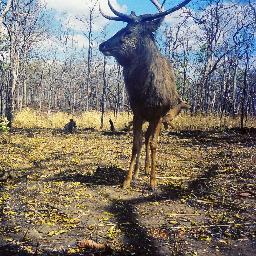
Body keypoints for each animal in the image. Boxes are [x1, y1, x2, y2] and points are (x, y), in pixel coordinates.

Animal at [99, 0, 191, 188]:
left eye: (128, 31)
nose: (102, 45)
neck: (145, 91)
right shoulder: (137, 112)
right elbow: (136, 144)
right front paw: (127, 179)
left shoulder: (158, 115)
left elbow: (154, 144)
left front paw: (153, 182)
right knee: (144, 140)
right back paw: (138, 172)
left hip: (158, 118)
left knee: (149, 139)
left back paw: (148, 169)